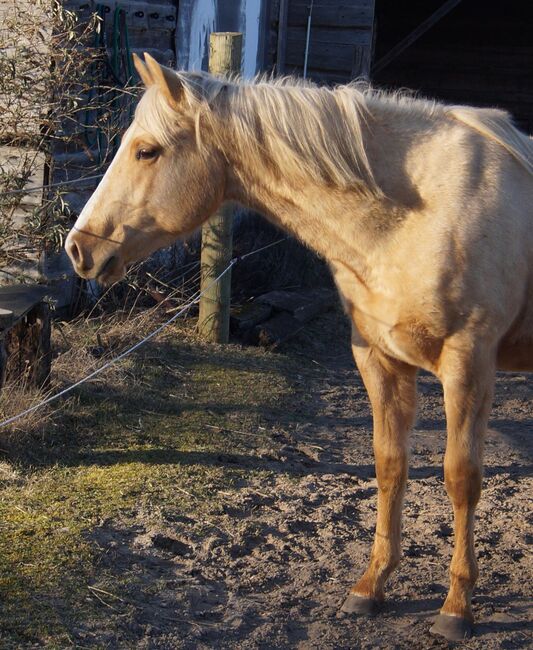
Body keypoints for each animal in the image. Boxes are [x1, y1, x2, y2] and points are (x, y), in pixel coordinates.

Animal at [65, 54, 532, 636]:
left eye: (146, 150)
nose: (79, 249)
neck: (422, 214)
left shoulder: (468, 366)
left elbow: (461, 478)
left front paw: (456, 608)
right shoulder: (378, 360)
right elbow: (389, 466)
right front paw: (370, 587)